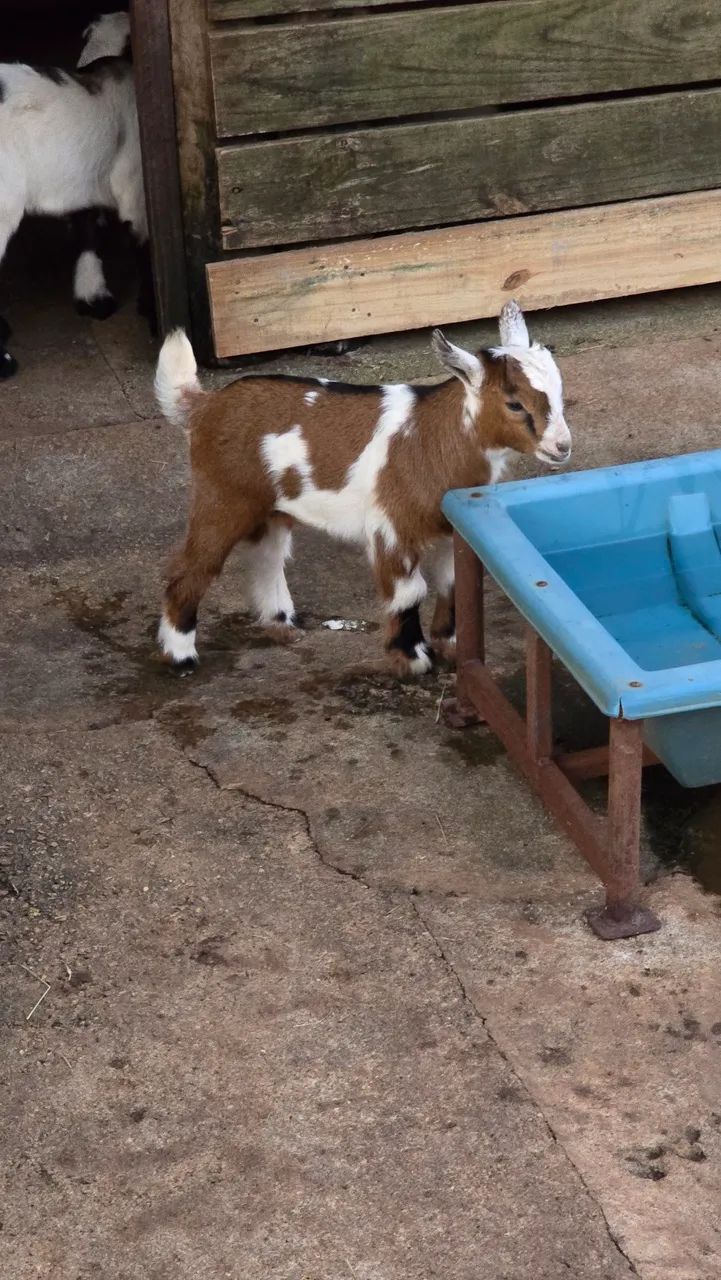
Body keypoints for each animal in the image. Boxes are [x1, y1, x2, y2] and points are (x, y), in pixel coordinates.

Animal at [154, 301, 572, 676]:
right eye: (514, 404)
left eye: (558, 391)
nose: (562, 447)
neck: (432, 437)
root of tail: (205, 405)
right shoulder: (392, 527)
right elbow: (409, 592)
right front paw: (412, 659)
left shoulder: (451, 529)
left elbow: (452, 584)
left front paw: (450, 646)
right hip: (222, 496)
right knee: (194, 567)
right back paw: (181, 657)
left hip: (272, 506)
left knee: (268, 555)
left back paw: (281, 623)